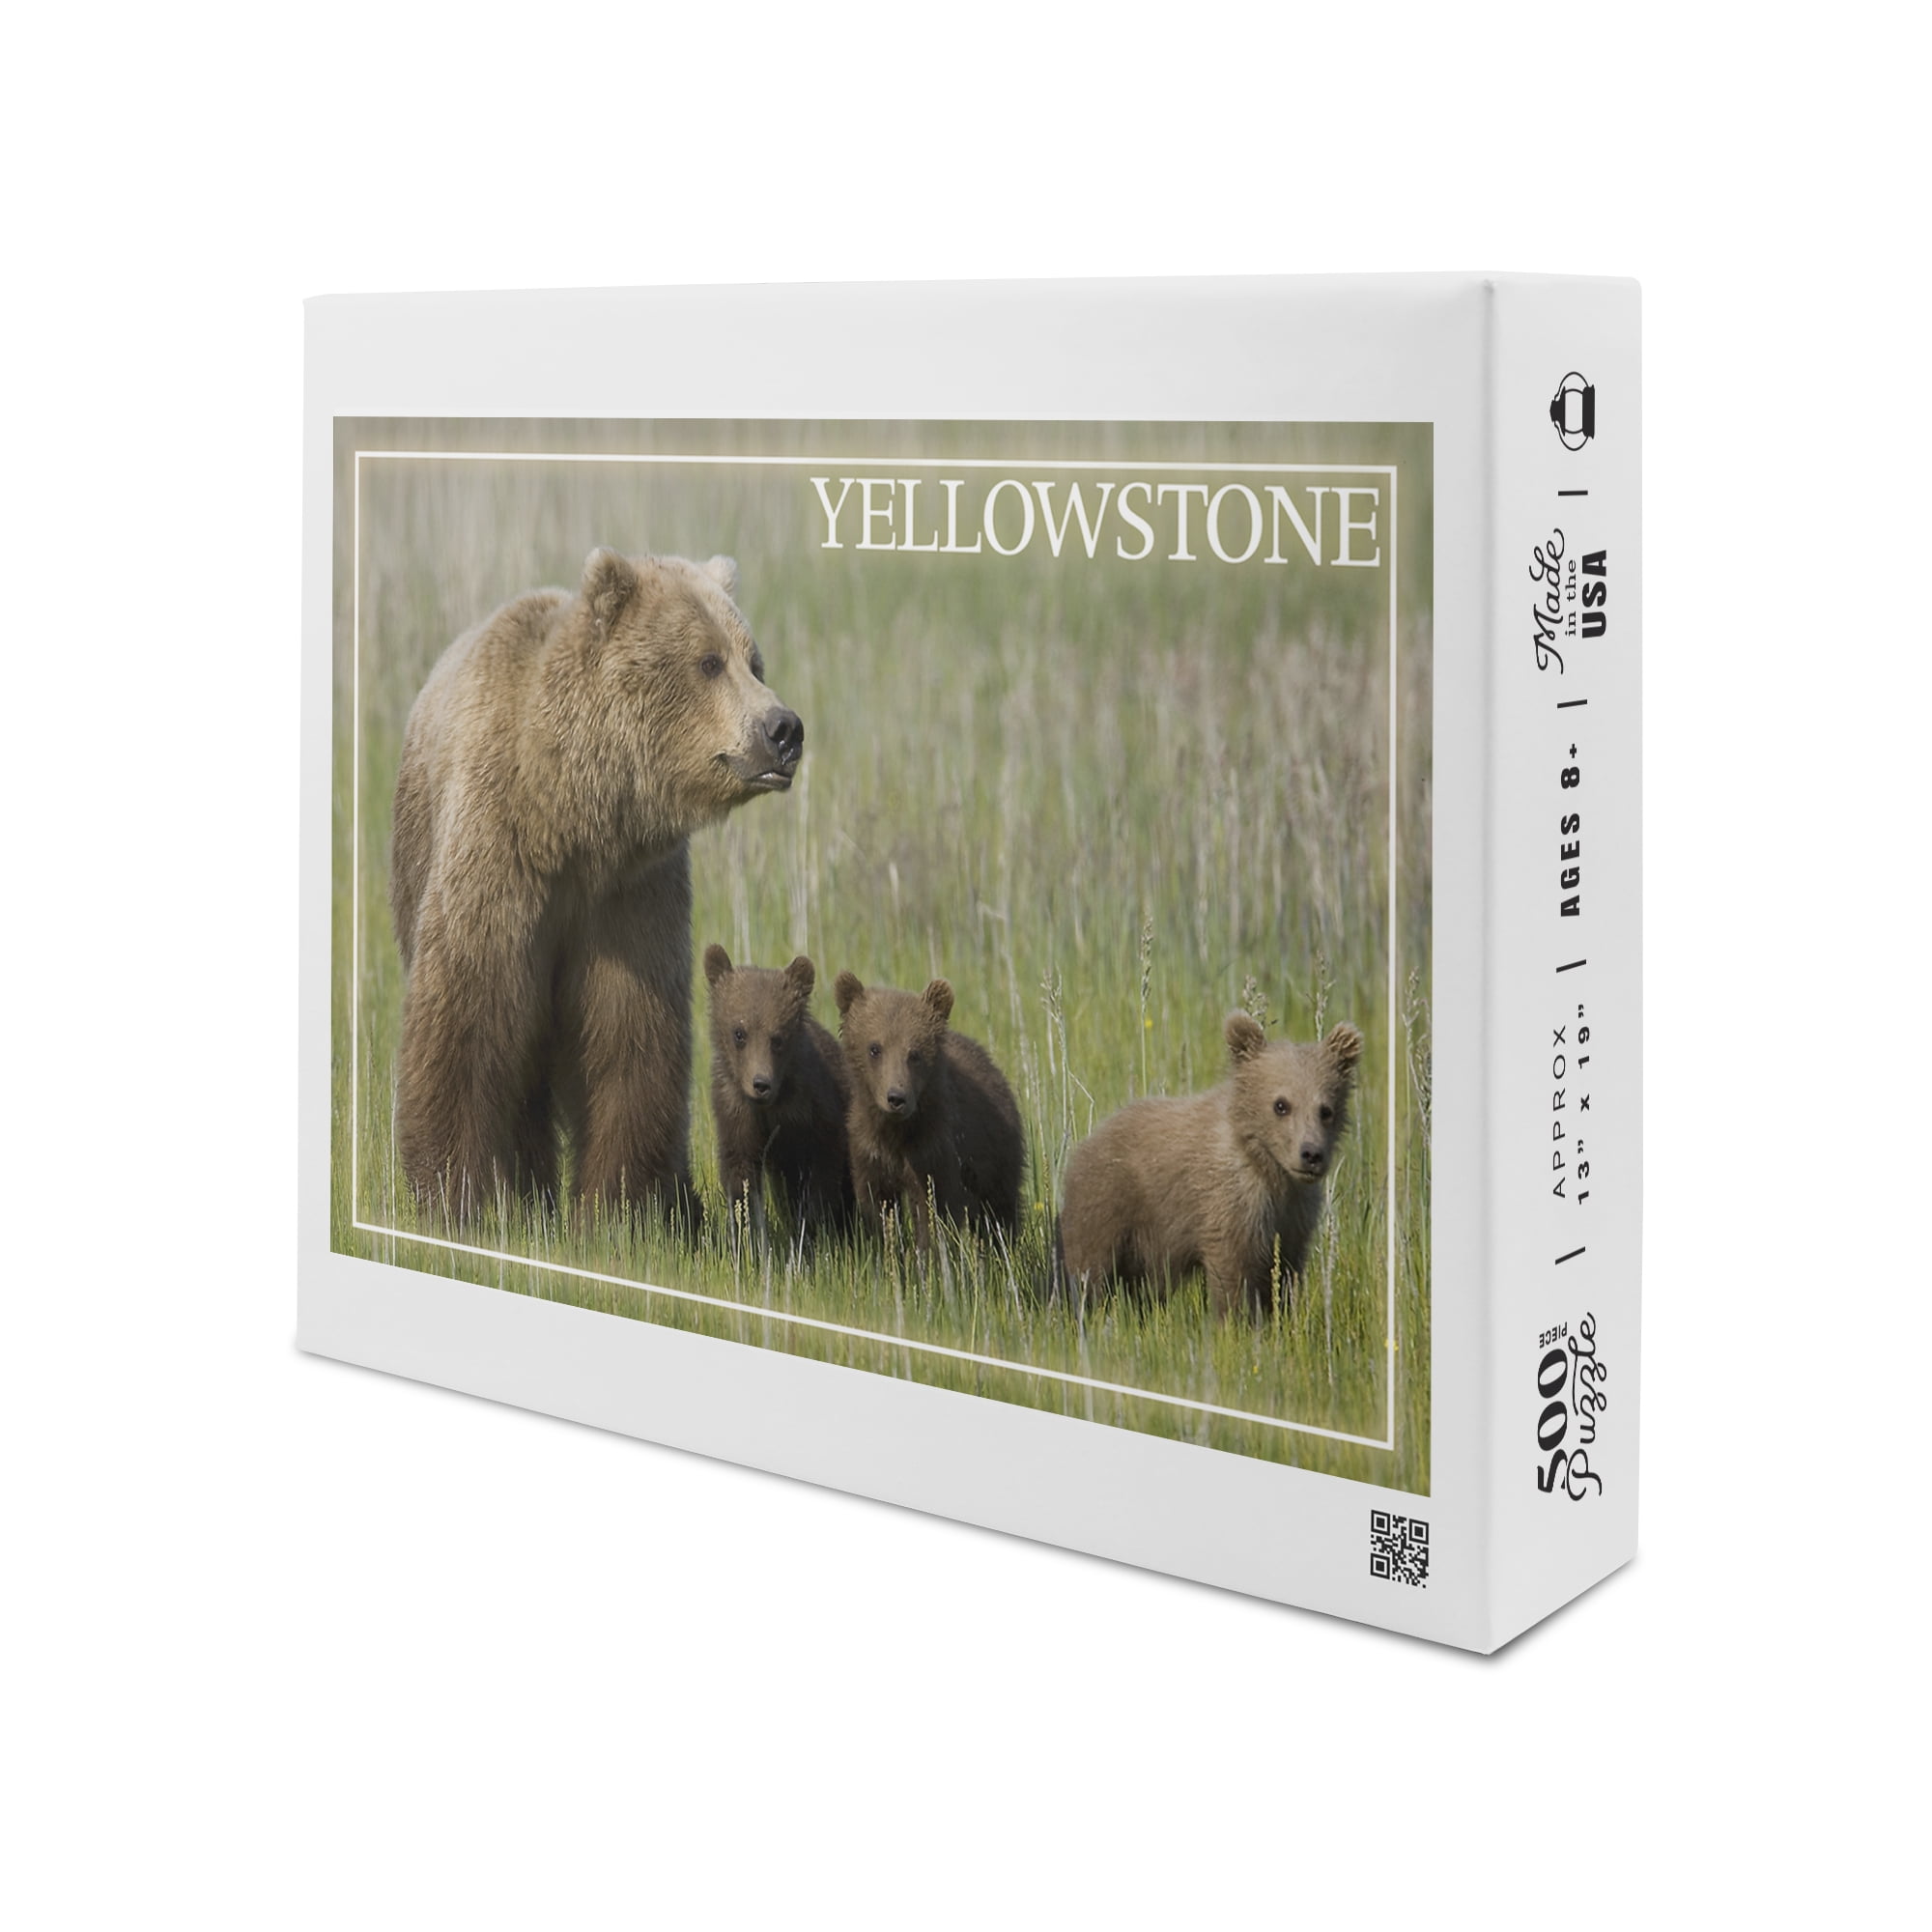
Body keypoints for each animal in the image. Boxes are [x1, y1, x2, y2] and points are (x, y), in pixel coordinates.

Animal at [388, 547, 802, 1221]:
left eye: (754, 660)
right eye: (708, 661)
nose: (784, 729)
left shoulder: (630, 893)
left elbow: (628, 1032)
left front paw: (621, 1204)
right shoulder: (498, 855)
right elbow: (468, 1013)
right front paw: (456, 1192)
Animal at [702, 944, 854, 1244]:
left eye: (778, 1037)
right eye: (739, 1032)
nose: (760, 1083)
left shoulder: (814, 1113)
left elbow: (822, 1176)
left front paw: (814, 1229)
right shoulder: (736, 1111)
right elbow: (741, 1174)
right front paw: (745, 1231)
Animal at [831, 972, 1025, 1246]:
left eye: (915, 1053)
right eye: (874, 1048)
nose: (896, 1097)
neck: (898, 1132)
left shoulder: (934, 1150)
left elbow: (934, 1212)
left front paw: (928, 1253)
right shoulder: (870, 1149)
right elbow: (878, 1207)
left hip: (996, 1155)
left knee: (999, 1210)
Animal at [1057, 1013, 1364, 1318]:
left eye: (1326, 1109)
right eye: (1281, 1105)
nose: (1311, 1154)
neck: (1270, 1169)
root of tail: (1089, 1139)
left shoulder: (1293, 1217)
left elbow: (1284, 1272)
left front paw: (1282, 1315)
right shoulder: (1230, 1202)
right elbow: (1234, 1272)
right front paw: (1236, 1320)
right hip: (1109, 1207)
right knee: (1089, 1270)